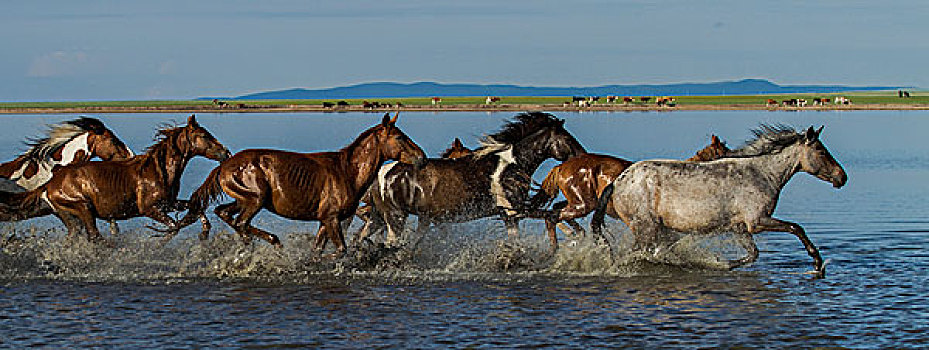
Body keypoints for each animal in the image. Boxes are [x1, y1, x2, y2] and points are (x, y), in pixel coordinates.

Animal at [0, 115, 230, 243]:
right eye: (205, 135)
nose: (226, 152)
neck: (159, 169)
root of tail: (50, 183)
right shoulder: (149, 208)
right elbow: (174, 226)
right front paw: (158, 241)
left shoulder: (168, 203)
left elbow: (195, 209)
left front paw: (203, 234)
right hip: (83, 209)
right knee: (94, 236)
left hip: (70, 217)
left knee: (76, 237)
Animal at [176, 113, 426, 256]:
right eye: (400, 137)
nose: (422, 157)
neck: (347, 171)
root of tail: (223, 166)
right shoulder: (331, 218)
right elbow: (340, 250)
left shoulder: (325, 220)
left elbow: (317, 250)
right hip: (255, 199)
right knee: (241, 222)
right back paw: (272, 242)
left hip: (243, 199)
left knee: (224, 213)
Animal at [352, 112, 584, 252]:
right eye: (568, 139)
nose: (583, 155)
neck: (511, 165)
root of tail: (379, 176)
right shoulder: (513, 209)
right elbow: (550, 215)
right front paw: (575, 236)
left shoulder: (509, 216)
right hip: (395, 219)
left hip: (379, 218)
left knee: (360, 237)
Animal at [528, 135, 732, 246]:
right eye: (725, 152)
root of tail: (561, 167)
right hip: (583, 204)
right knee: (552, 216)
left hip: (580, 203)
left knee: (556, 209)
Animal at [592, 124, 844, 278]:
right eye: (821, 151)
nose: (842, 177)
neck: (761, 174)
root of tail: (617, 182)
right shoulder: (758, 221)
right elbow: (796, 228)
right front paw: (817, 263)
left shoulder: (740, 227)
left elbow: (752, 255)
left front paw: (718, 264)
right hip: (646, 229)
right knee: (630, 255)